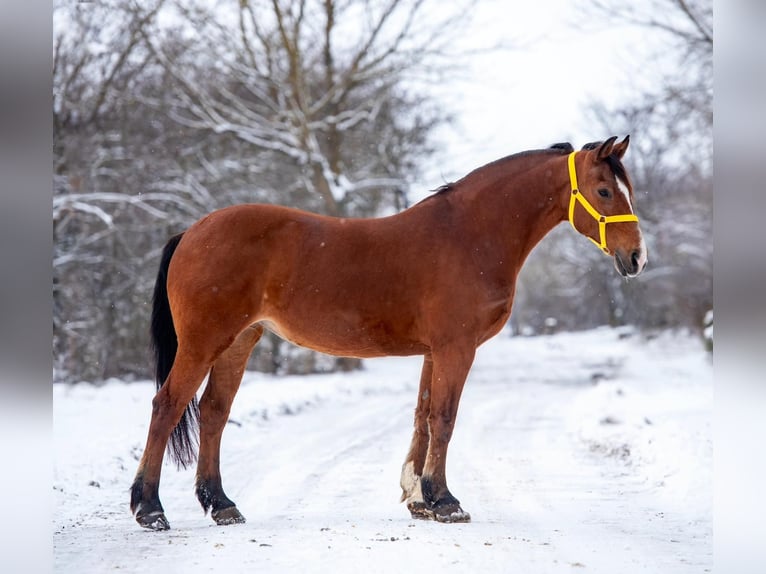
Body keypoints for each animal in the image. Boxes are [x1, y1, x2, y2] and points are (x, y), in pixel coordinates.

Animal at [130, 135, 647, 530]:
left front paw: (420, 499)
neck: (469, 235)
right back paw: (149, 509)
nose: (637, 258)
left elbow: (423, 416)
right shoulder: (456, 348)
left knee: (214, 413)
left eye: (627, 190)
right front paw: (446, 501)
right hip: (203, 342)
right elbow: (444, 418)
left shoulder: (434, 351)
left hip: (239, 341)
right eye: (604, 191)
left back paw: (222, 505)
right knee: (167, 406)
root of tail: (192, 231)